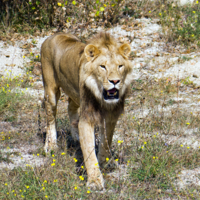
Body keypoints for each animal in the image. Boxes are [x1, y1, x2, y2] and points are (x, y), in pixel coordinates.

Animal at [40, 32, 134, 190]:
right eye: (103, 67)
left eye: (120, 66)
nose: (115, 81)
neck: (102, 98)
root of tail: (52, 36)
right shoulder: (87, 117)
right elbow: (89, 149)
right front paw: (95, 181)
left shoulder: (110, 117)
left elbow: (106, 141)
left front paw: (105, 162)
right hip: (51, 90)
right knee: (50, 116)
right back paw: (51, 145)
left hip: (76, 94)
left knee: (70, 107)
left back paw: (76, 136)